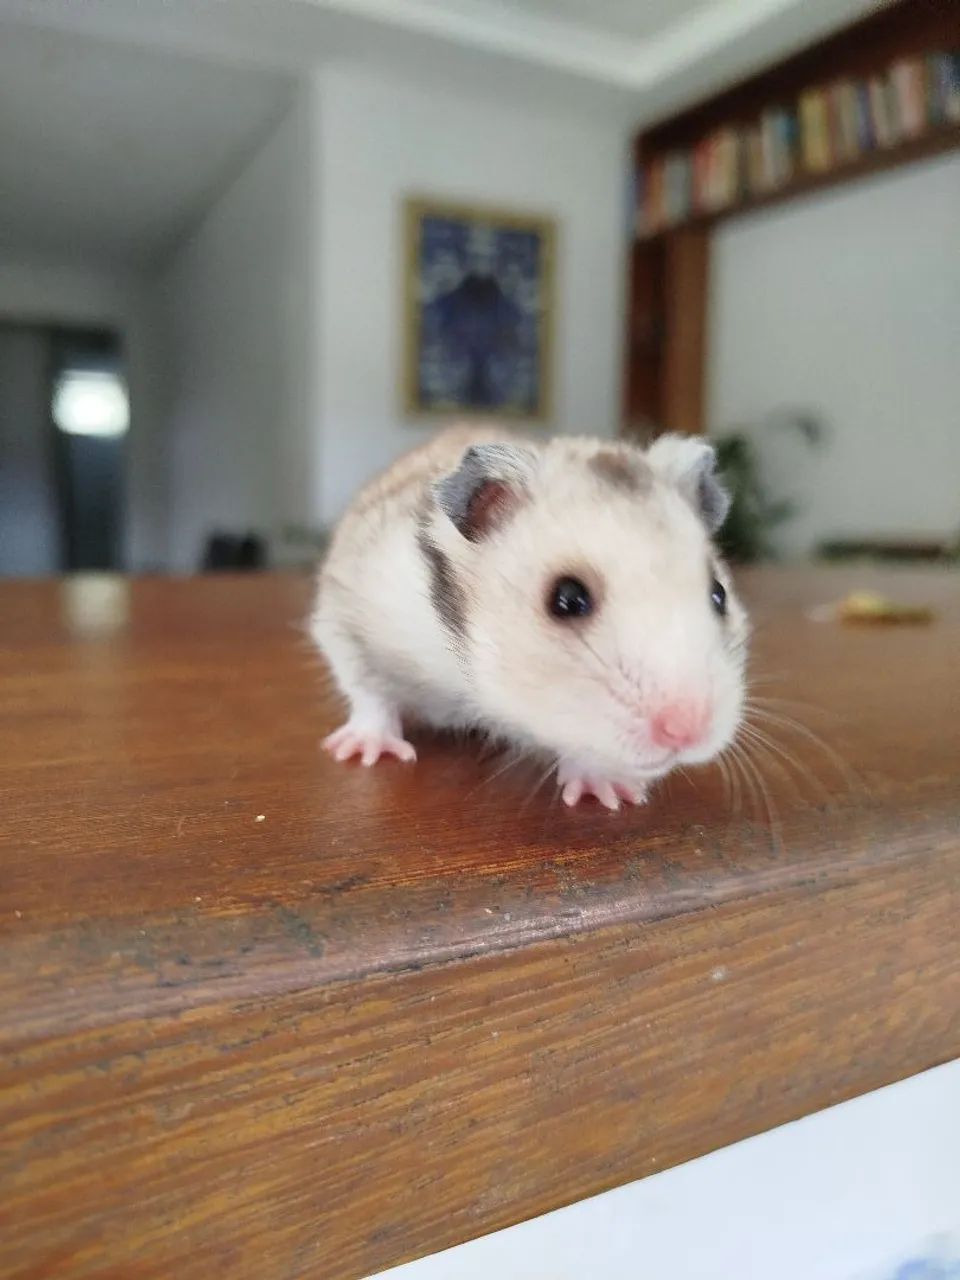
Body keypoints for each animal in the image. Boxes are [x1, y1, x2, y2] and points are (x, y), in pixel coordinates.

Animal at [311, 425, 748, 809]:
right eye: (567, 599)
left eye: (719, 594)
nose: (688, 733)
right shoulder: (346, 611)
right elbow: (369, 689)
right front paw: (362, 751)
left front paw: (612, 794)